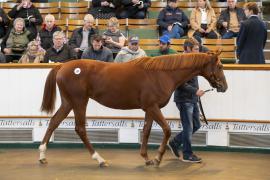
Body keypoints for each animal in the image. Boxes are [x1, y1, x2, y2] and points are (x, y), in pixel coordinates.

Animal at [38, 52, 228, 167]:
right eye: (220, 66)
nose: (224, 87)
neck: (162, 73)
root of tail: (62, 66)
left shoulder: (150, 109)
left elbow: (146, 131)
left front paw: (147, 158)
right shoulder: (152, 107)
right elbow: (166, 130)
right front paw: (157, 158)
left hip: (68, 103)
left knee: (54, 122)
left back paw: (42, 156)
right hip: (79, 102)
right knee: (80, 128)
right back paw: (100, 159)